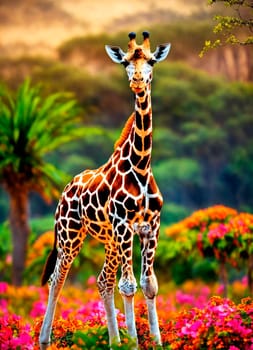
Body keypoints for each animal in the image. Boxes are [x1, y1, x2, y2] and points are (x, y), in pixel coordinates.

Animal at [39, 31, 170, 348]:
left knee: (103, 280)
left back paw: (113, 341)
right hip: (70, 235)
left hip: (108, 241)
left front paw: (156, 342)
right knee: (57, 278)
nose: (137, 81)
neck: (141, 165)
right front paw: (135, 341)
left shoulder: (151, 226)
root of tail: (63, 192)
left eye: (150, 61)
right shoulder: (124, 225)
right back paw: (44, 340)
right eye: (125, 62)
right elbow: (129, 285)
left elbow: (148, 284)